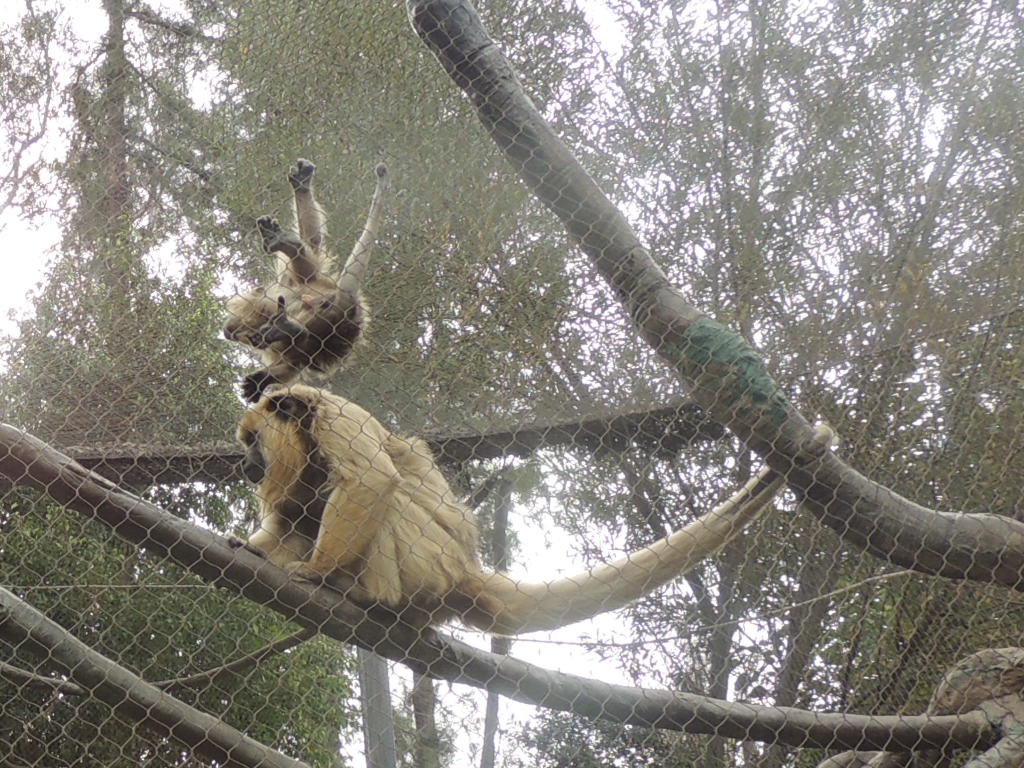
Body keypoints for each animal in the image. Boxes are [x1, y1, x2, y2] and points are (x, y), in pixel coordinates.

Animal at [233, 384, 836, 635]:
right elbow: (288, 518)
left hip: (432, 562)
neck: (305, 430)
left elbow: (370, 480)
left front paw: (315, 570)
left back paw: (370, 596)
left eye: (250, 441)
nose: (243, 464)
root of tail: (467, 570)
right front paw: (254, 547)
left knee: (391, 499)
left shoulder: (339, 416)